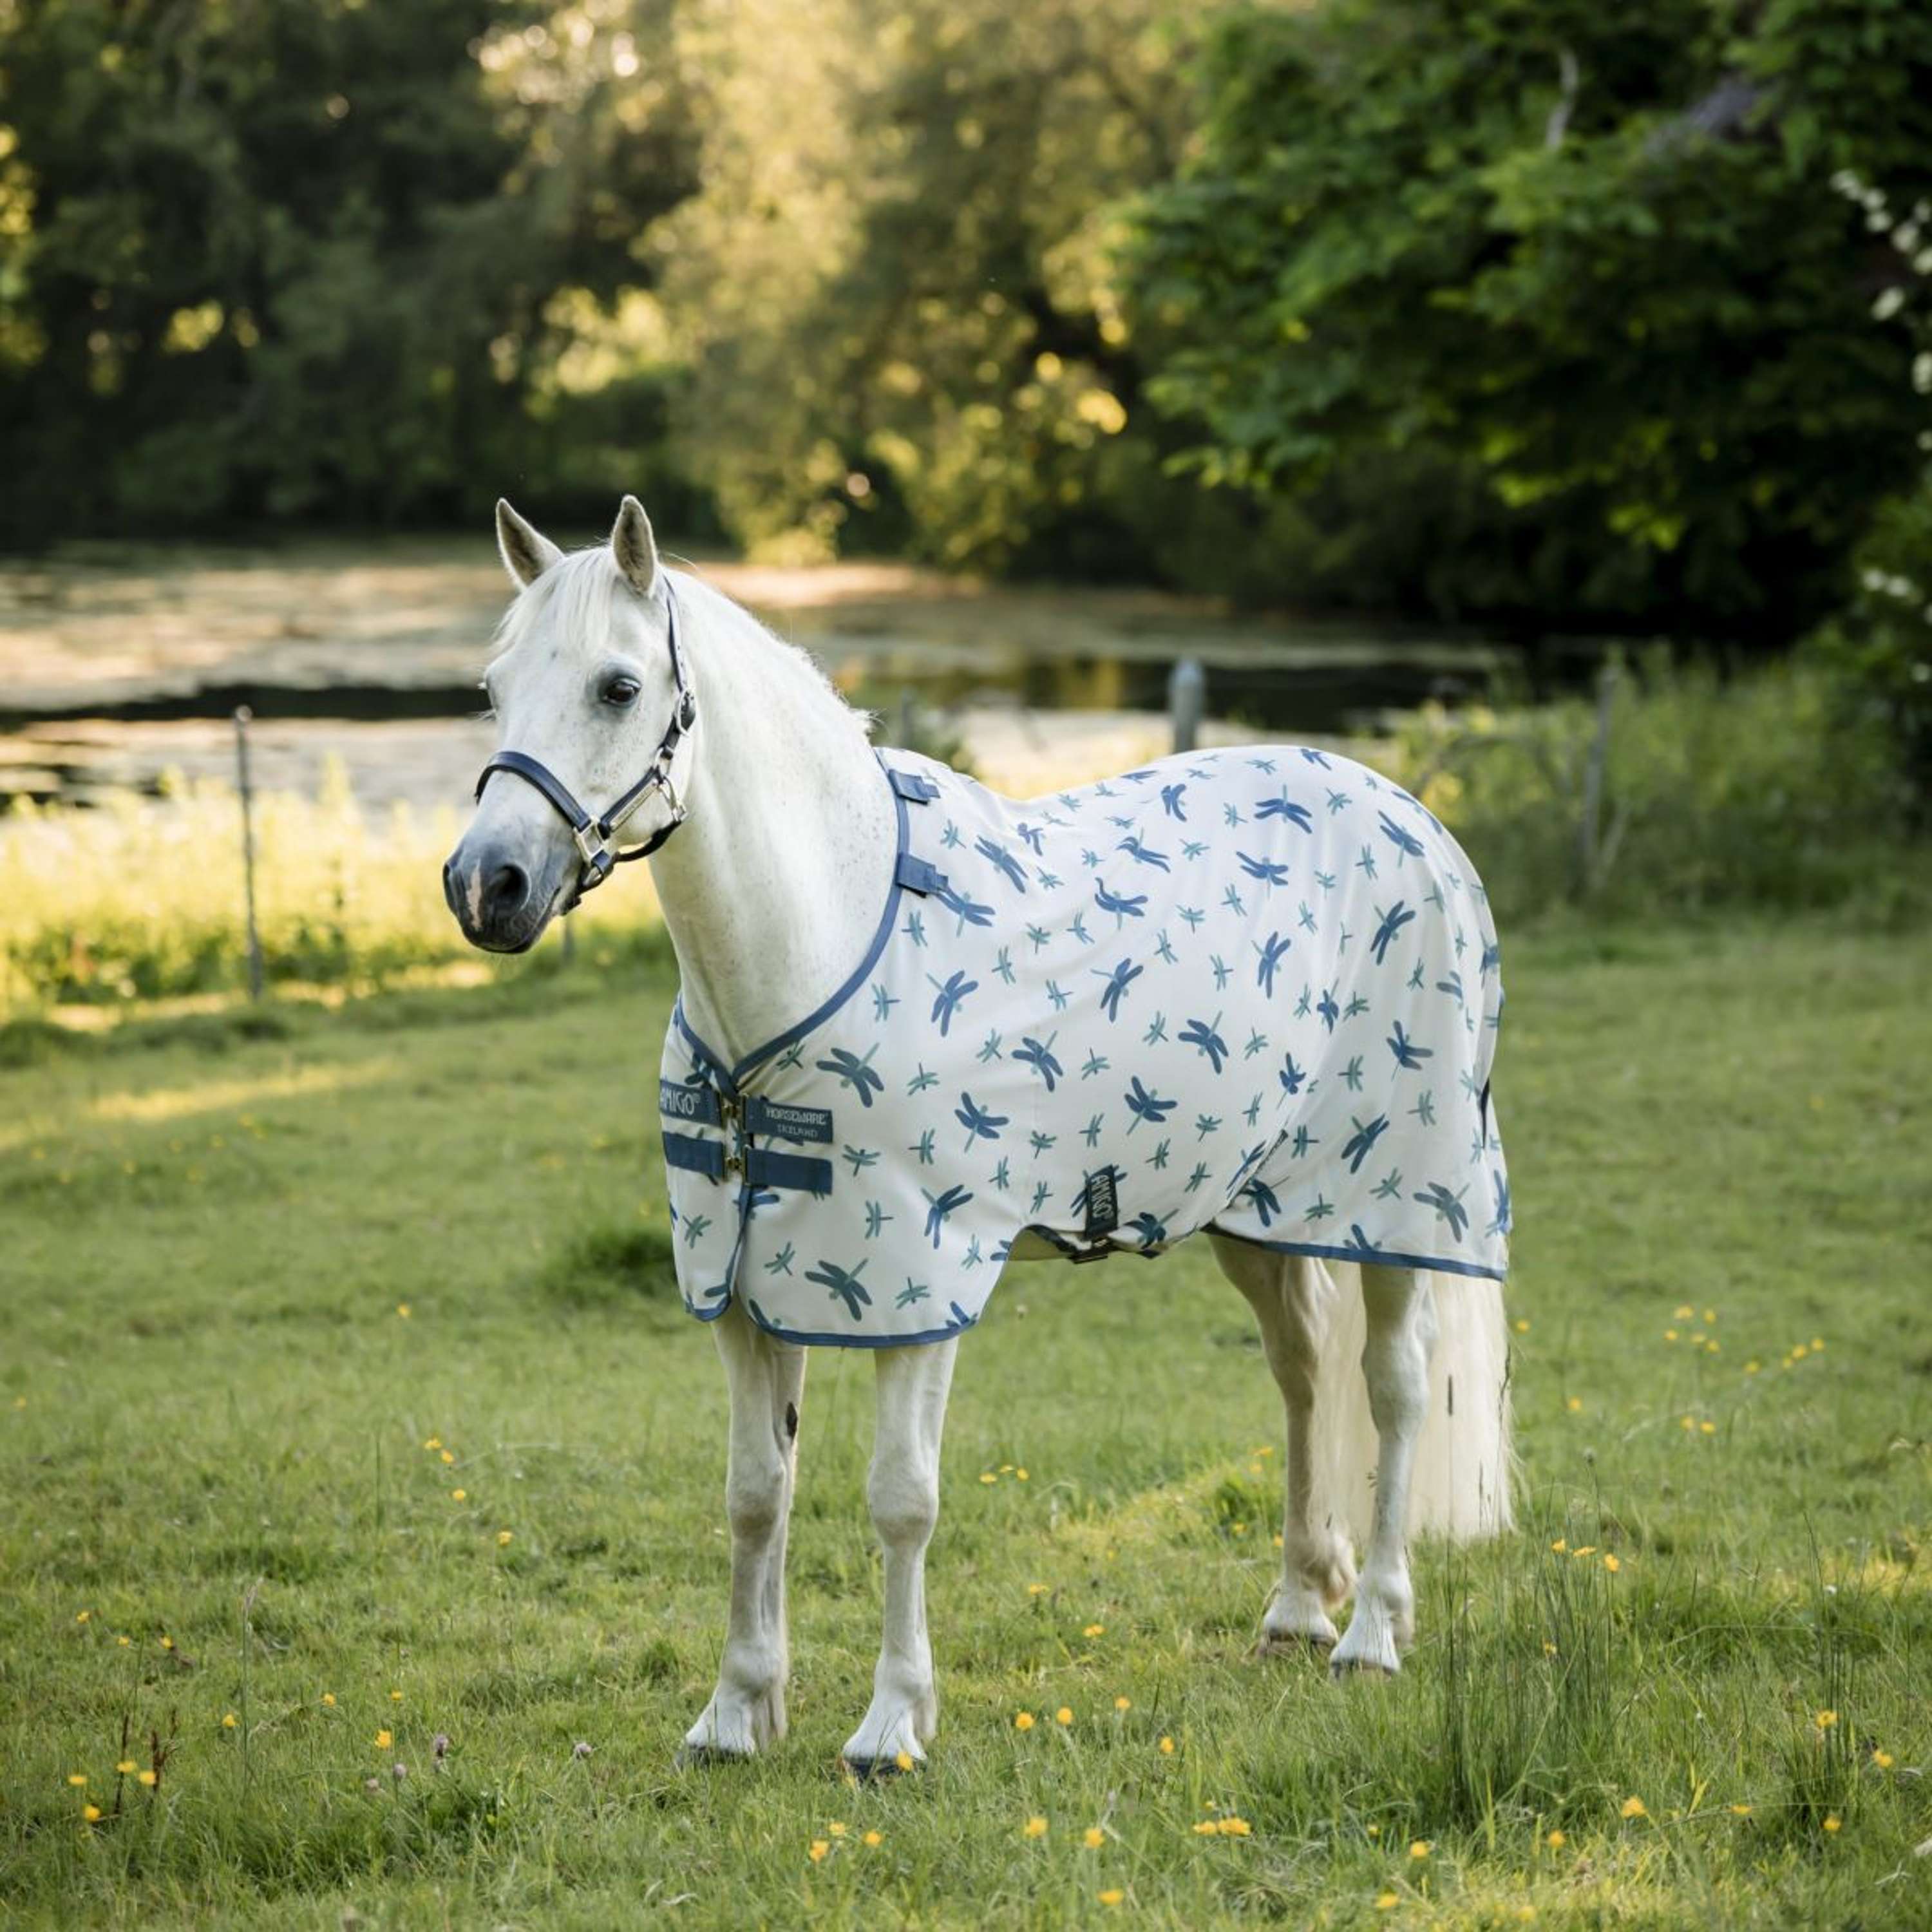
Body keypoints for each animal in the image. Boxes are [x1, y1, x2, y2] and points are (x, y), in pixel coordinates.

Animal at [444, 496, 1513, 1773]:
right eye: (493, 688)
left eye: (616, 687)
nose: (488, 885)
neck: (825, 938)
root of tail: (1407, 813)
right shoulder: (745, 1288)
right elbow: (755, 1492)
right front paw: (735, 1714)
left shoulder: (919, 1283)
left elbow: (901, 1498)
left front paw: (891, 1725)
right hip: (1259, 1209)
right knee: (1304, 1373)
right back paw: (1300, 1608)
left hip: (1396, 1206)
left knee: (1393, 1389)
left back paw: (1374, 1633)